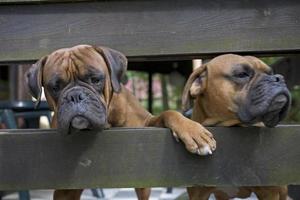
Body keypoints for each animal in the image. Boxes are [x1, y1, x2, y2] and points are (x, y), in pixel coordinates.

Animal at [25, 44, 217, 199]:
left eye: (95, 79)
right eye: (55, 87)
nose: (75, 96)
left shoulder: (147, 124)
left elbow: (168, 113)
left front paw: (193, 132)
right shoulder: (66, 190)